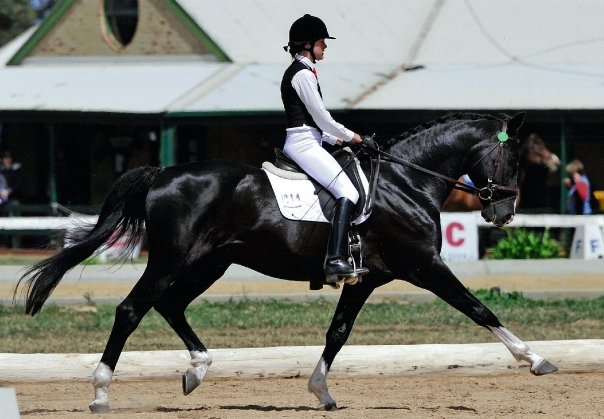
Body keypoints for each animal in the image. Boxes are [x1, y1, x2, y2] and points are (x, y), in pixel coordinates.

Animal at [15, 112, 558, 413]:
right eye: (514, 159)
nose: (504, 214)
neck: (406, 182)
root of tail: (163, 172)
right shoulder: (423, 266)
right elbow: (480, 309)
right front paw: (536, 360)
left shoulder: (367, 279)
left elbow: (338, 332)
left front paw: (321, 392)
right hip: (172, 260)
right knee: (131, 310)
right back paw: (101, 394)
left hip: (208, 264)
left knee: (170, 306)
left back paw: (197, 371)